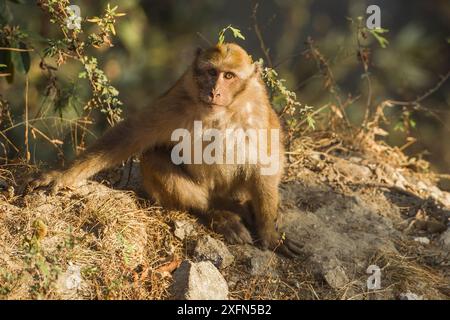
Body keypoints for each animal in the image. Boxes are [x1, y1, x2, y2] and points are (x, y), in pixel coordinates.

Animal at [30, 43, 302, 258]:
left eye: (229, 76)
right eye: (211, 72)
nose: (214, 91)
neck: (220, 113)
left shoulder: (256, 112)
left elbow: (265, 163)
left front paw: (269, 233)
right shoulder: (178, 101)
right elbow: (133, 133)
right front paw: (62, 175)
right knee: (153, 157)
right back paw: (218, 213)